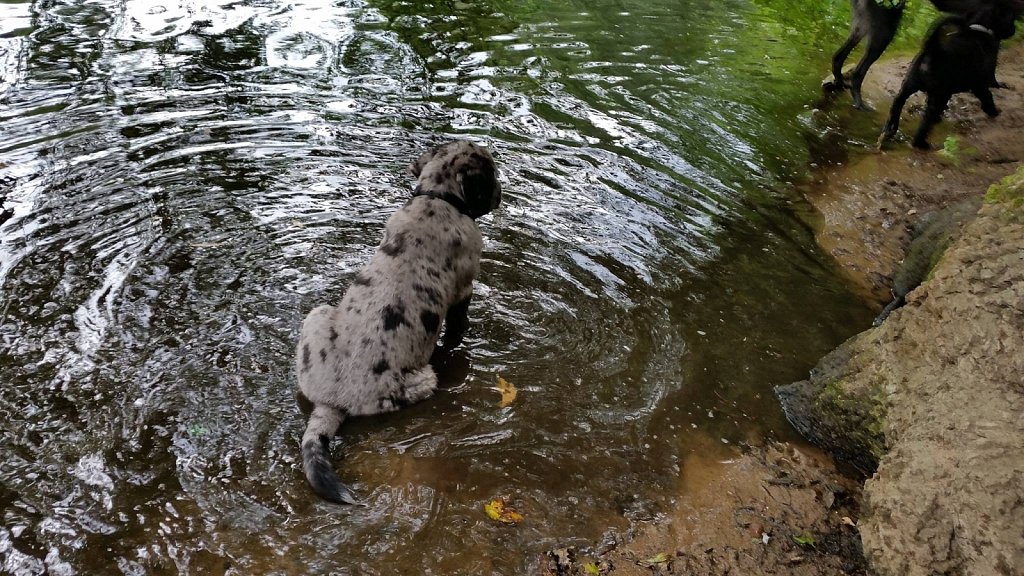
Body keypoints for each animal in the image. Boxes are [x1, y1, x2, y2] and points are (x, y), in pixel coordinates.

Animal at [294, 140, 501, 502]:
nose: (502, 192)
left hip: (316, 315)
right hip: (423, 380)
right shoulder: (464, 290)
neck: (437, 197)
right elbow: (457, 330)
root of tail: (332, 402)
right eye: (491, 176)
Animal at [823, 0, 966, 108]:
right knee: (858, 72)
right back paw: (859, 102)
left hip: (866, 23)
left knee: (838, 57)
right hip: (885, 28)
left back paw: (840, 82)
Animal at [876, 0, 1019, 150]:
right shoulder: (980, 83)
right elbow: (988, 95)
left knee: (898, 102)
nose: (1014, 29)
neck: (979, 28)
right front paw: (993, 111)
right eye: (1011, 18)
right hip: (938, 95)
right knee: (925, 122)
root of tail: (933, 51)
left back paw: (889, 130)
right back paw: (922, 144)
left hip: (909, 85)